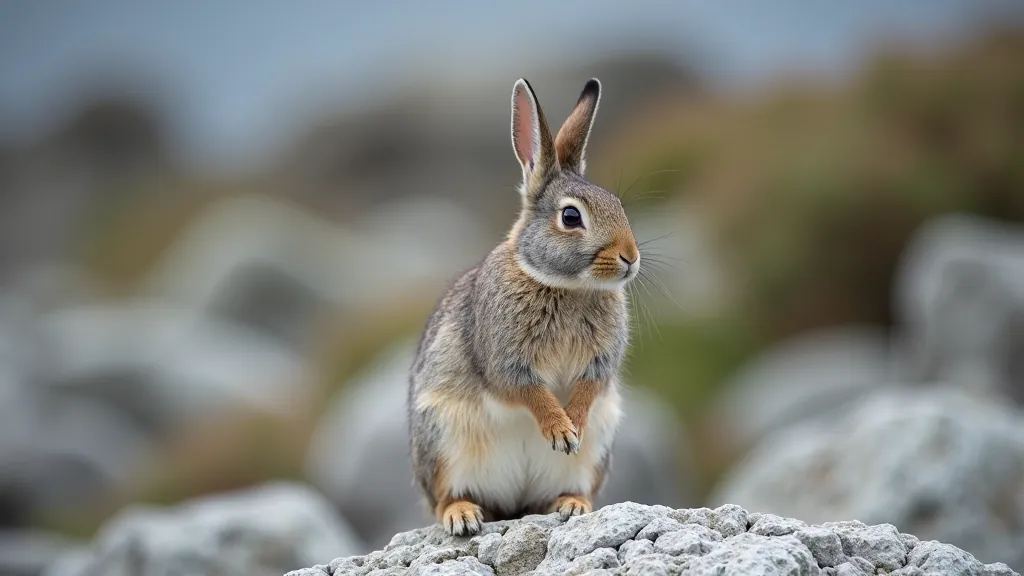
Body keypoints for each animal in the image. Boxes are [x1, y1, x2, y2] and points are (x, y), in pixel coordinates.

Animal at [408, 77, 639, 536]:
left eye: (618, 205)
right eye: (571, 217)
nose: (631, 257)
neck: (567, 286)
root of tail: (515, 504)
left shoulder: (600, 364)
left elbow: (588, 387)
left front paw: (574, 425)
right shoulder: (504, 361)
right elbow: (530, 393)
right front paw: (561, 432)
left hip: (596, 452)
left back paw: (573, 505)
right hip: (441, 441)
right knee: (445, 496)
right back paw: (463, 516)